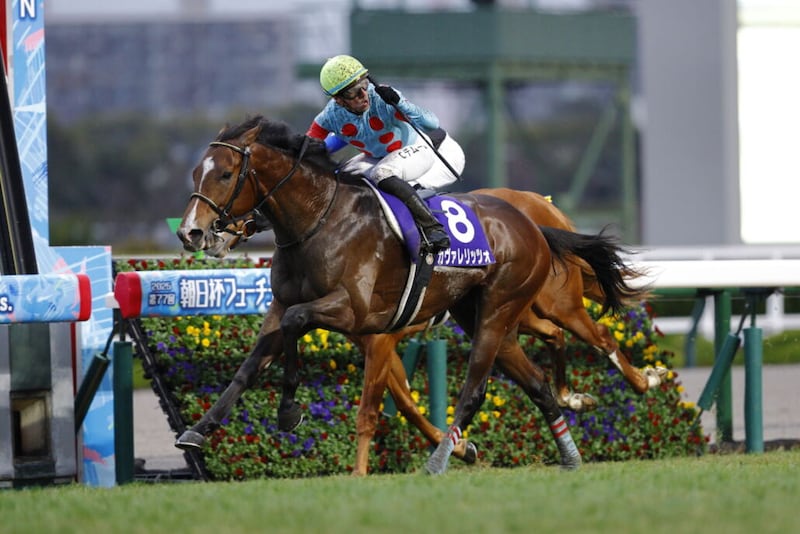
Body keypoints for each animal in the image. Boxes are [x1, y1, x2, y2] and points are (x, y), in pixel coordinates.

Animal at [174, 116, 634, 475]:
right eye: (195, 172)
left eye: (225, 174)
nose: (191, 232)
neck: (320, 218)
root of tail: (533, 223)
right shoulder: (289, 308)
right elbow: (249, 368)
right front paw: (198, 430)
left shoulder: (360, 317)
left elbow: (362, 393)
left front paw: (294, 417)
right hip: (486, 315)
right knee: (537, 382)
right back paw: (568, 450)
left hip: (513, 307)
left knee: (484, 383)